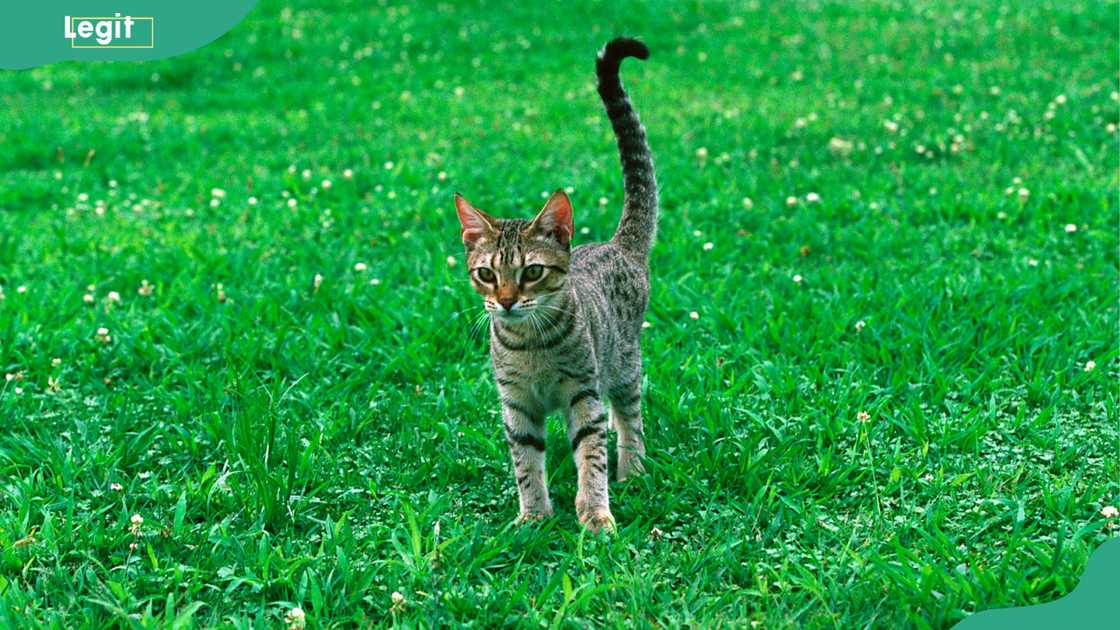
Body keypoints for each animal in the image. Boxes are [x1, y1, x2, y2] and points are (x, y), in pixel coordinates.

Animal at [452, 38, 654, 529]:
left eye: (532, 272)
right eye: (487, 274)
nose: (506, 301)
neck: (531, 347)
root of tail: (619, 245)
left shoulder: (583, 394)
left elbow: (592, 456)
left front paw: (596, 514)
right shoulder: (517, 405)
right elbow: (526, 462)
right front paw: (534, 515)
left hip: (623, 363)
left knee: (629, 417)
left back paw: (633, 469)